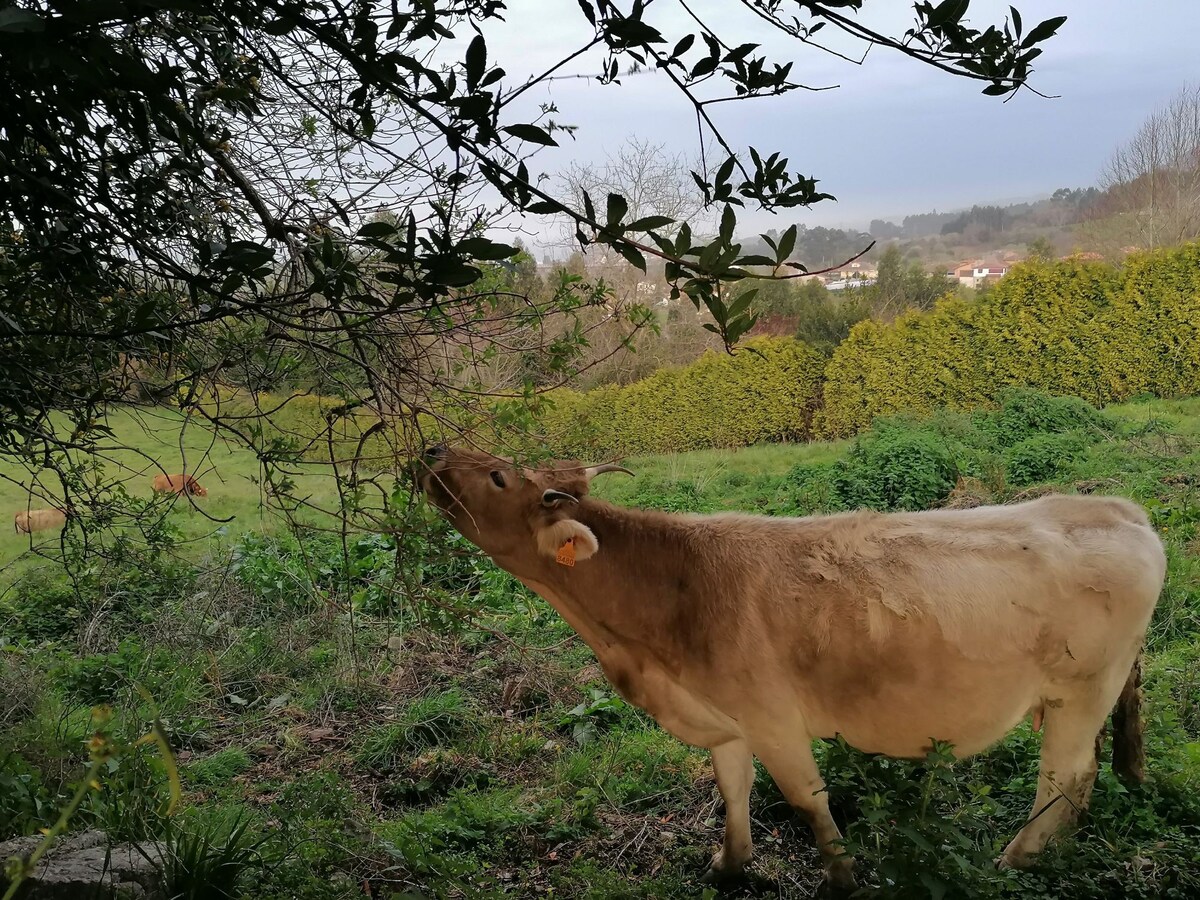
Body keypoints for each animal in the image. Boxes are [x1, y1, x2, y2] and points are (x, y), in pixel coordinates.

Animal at [417, 448, 1166, 897]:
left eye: (497, 477)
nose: (432, 453)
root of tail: (1117, 507)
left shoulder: (773, 716)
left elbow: (806, 799)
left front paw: (841, 879)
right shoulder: (725, 718)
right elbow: (734, 787)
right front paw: (729, 865)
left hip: (1080, 692)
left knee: (1064, 777)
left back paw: (1012, 862)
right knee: (1083, 778)